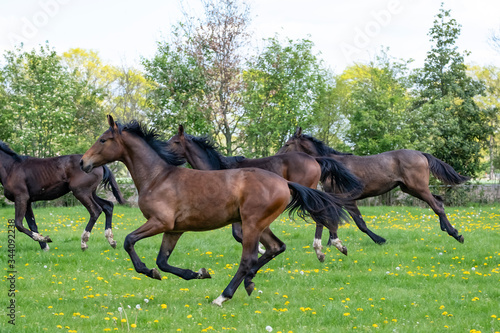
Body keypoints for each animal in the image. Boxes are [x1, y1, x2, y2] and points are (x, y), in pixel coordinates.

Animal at [166, 124, 362, 260]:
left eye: (175, 142)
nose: (163, 153)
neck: (219, 168)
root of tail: (315, 160)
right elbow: (239, 235)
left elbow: (239, 235)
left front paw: (260, 250)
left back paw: (323, 249)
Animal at [278, 127, 468, 244]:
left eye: (287, 144)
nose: (277, 156)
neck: (333, 167)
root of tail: (422, 153)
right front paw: (332, 243)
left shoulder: (348, 200)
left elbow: (360, 223)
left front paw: (379, 240)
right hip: (410, 189)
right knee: (439, 201)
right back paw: (448, 229)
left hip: (418, 188)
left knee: (437, 205)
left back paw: (456, 234)